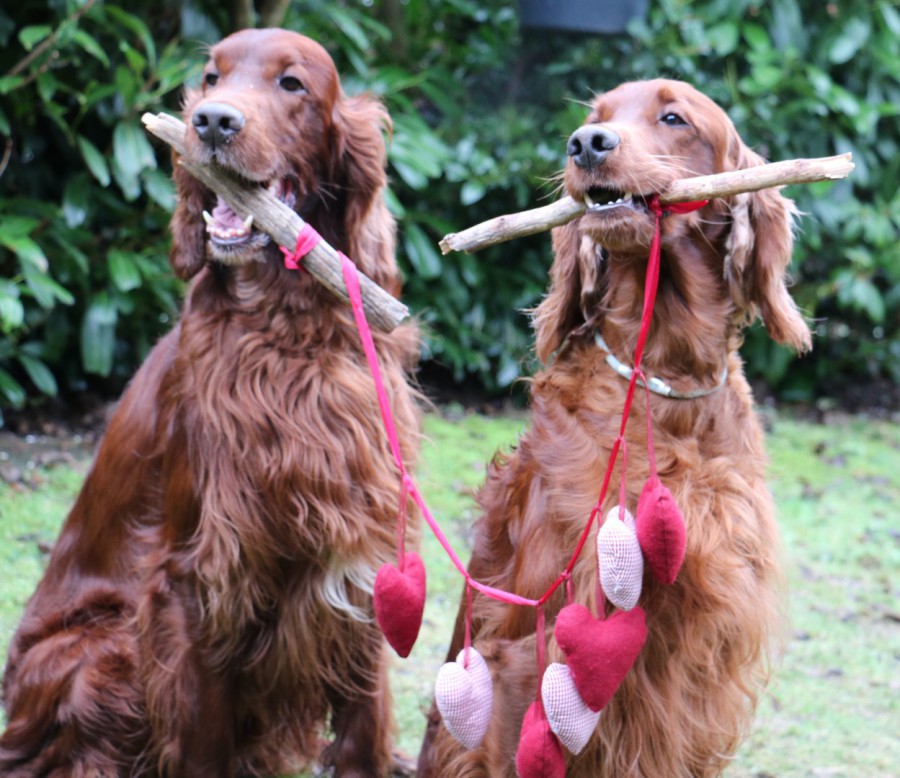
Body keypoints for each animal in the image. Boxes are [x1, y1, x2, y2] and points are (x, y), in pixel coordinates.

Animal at [1, 28, 420, 777]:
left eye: (291, 84)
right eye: (212, 76)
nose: (212, 123)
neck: (285, 335)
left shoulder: (362, 550)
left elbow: (364, 723)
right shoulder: (199, 578)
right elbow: (200, 738)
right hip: (105, 653)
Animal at [417, 79, 811, 777]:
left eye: (675, 117)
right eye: (596, 119)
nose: (586, 144)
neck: (665, 379)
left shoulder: (707, 663)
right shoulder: (526, 649)